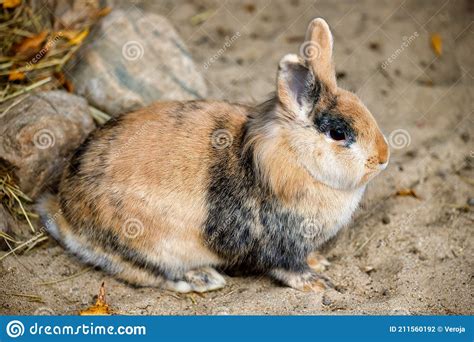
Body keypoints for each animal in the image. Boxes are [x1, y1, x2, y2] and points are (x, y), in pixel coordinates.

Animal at [38, 17, 388, 292]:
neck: (295, 158)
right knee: (146, 272)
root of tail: (63, 211)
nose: (382, 158)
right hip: (148, 245)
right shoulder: (279, 245)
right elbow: (287, 267)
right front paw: (316, 283)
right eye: (338, 134)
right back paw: (203, 279)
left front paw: (320, 262)